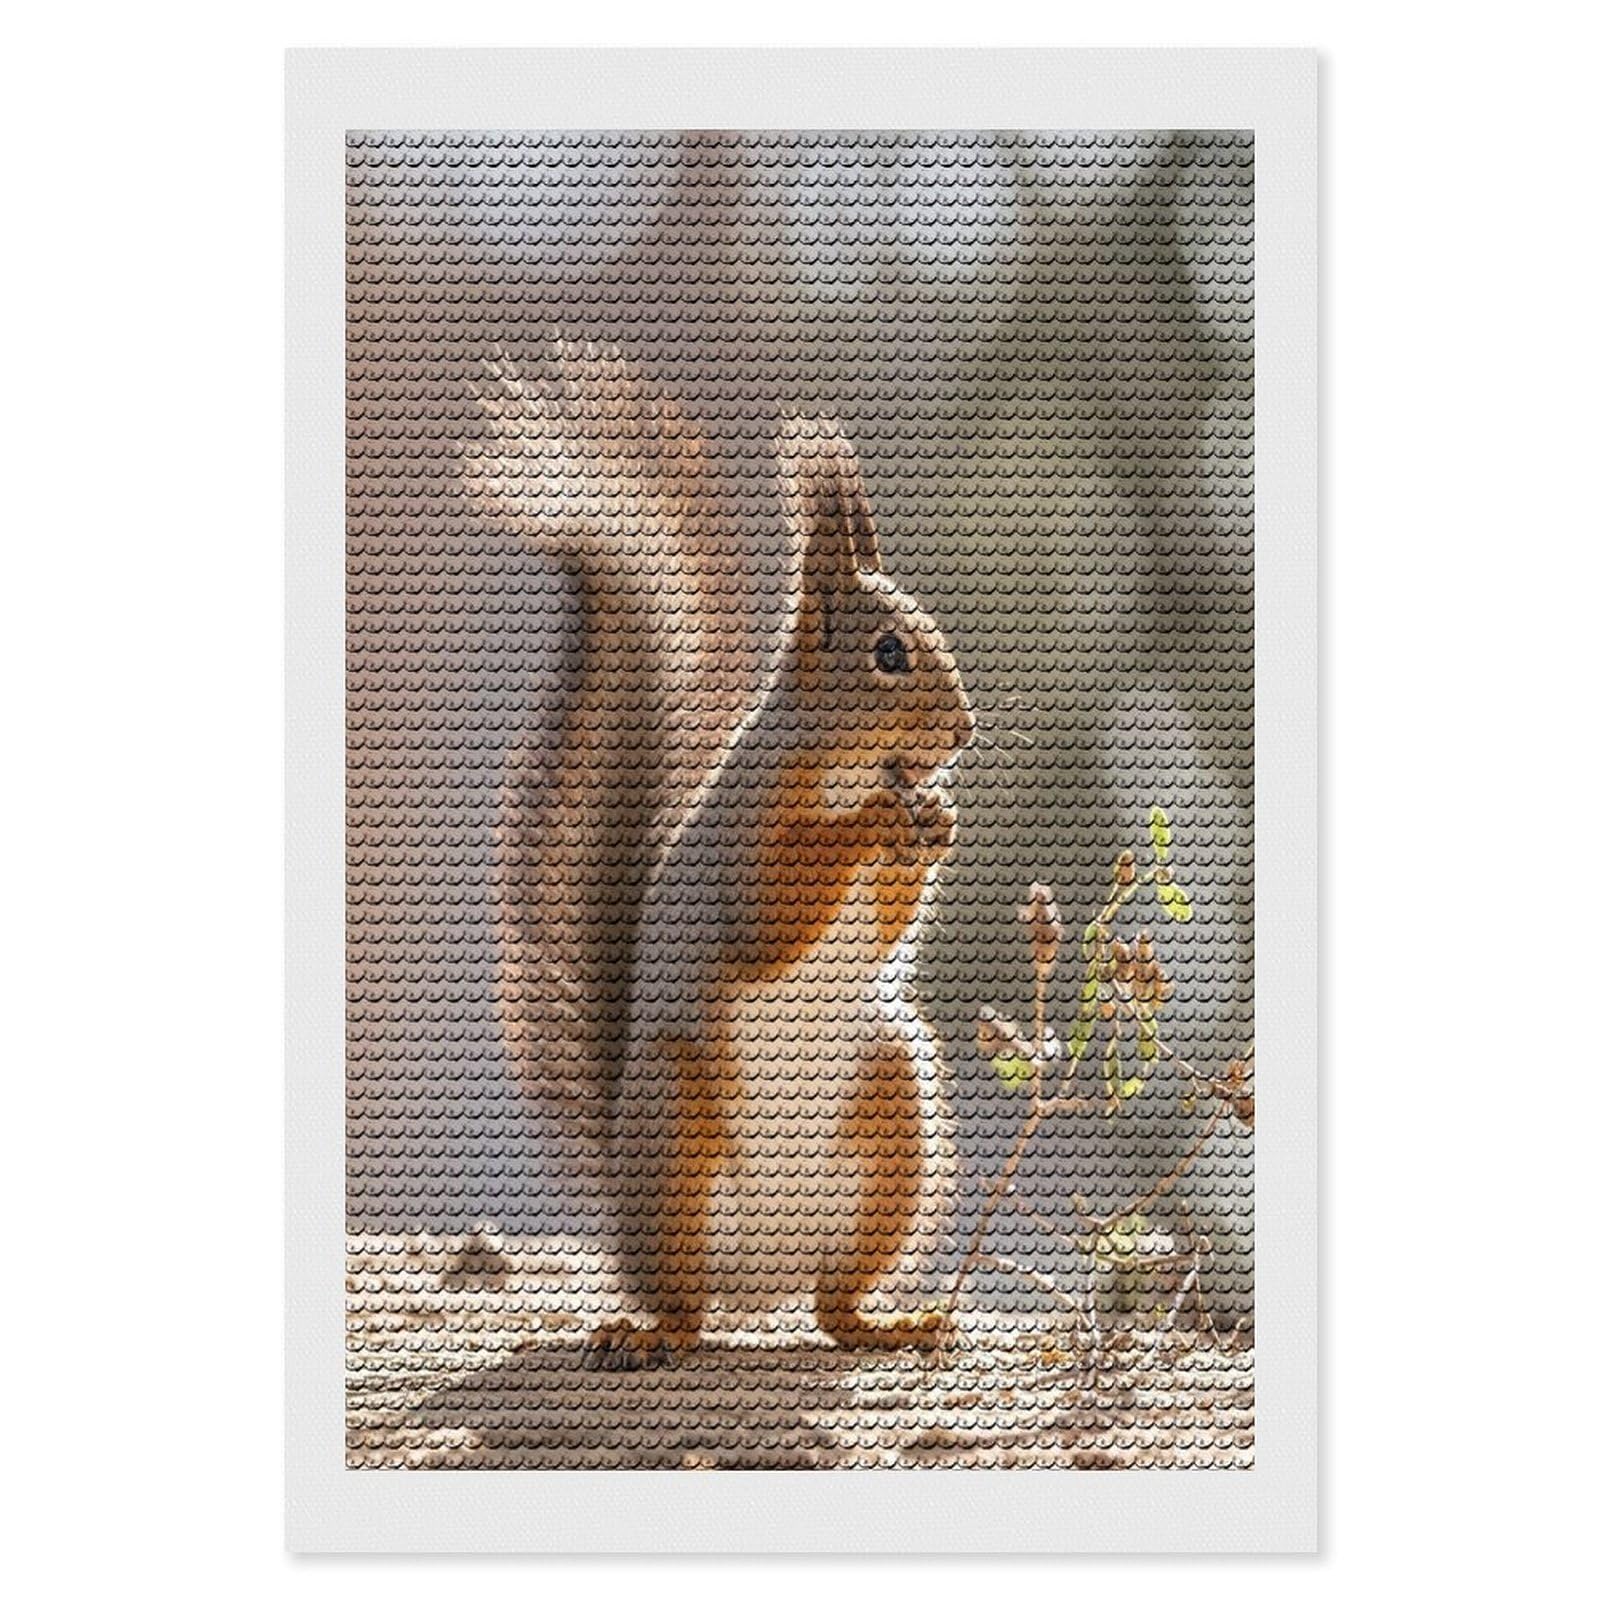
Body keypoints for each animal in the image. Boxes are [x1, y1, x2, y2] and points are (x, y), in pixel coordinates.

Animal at [463, 345, 975, 1367]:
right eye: (889, 653)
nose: (964, 732)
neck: (840, 768)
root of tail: (761, 1279)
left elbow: (889, 913)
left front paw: (933, 819)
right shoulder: (747, 841)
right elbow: (774, 915)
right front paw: (881, 822)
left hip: (895, 1107)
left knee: (833, 1304)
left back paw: (889, 1324)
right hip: (676, 1123)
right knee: (685, 1304)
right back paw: (647, 1334)